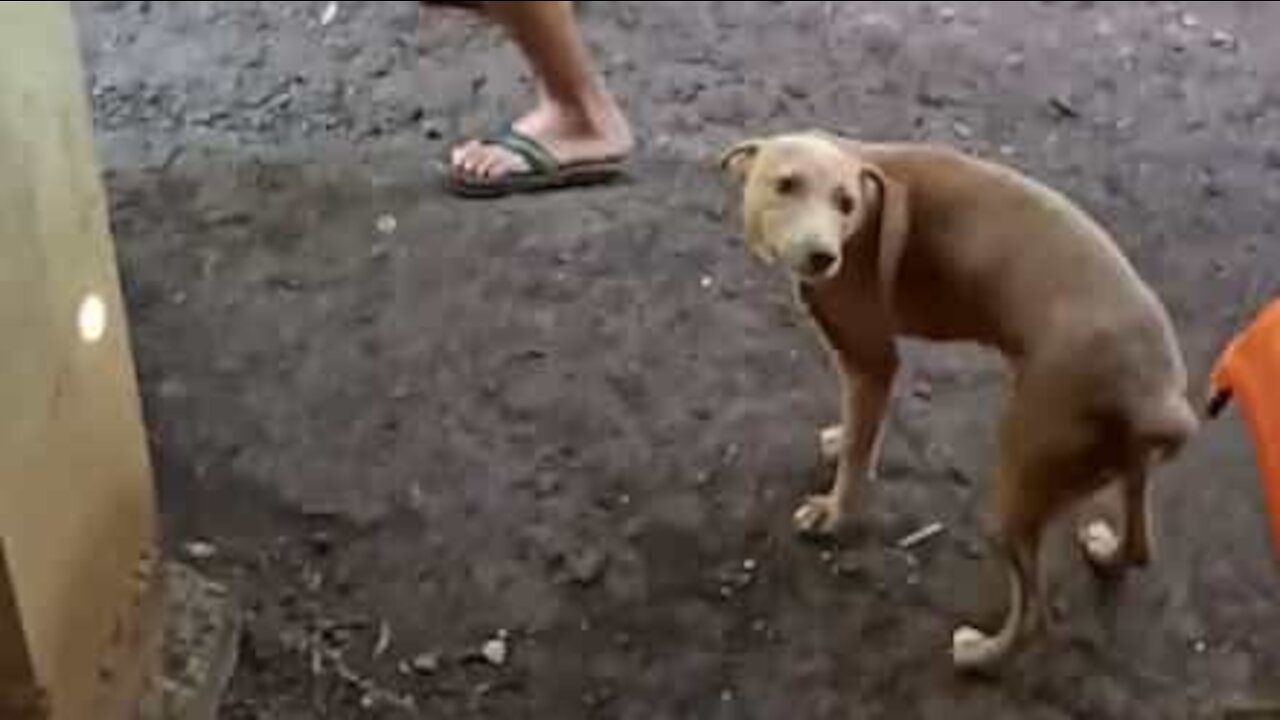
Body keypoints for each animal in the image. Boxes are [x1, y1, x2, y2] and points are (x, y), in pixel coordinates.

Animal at [721, 127, 1198, 666]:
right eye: (786, 185)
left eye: (845, 203)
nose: (824, 257)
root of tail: (1162, 398)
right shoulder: (865, 370)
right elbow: (860, 431)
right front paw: (841, 439)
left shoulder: (873, 358)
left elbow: (857, 456)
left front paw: (833, 511)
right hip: (1122, 465)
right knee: (1140, 547)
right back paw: (1107, 551)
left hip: (1020, 483)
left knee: (1033, 615)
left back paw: (981, 655)